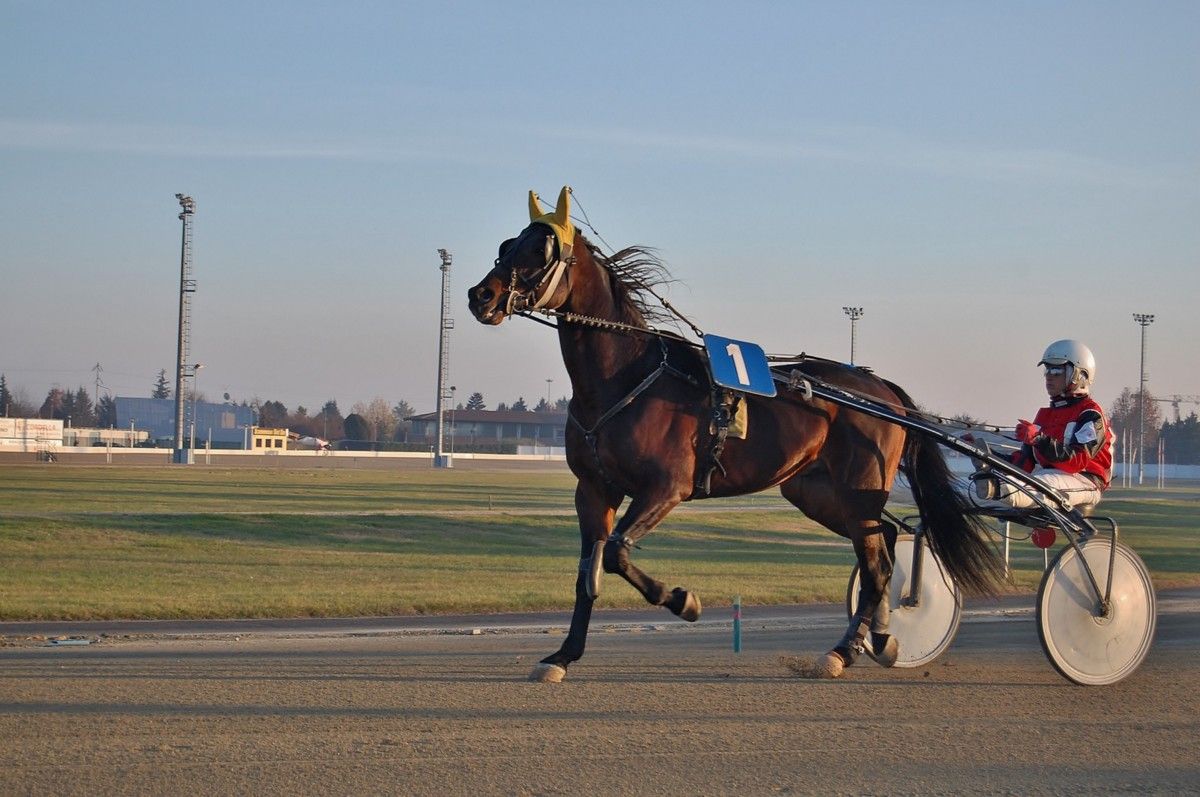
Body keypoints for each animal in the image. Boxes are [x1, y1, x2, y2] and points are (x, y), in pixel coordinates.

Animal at [468, 187, 1004, 682]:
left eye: (541, 250)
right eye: (507, 243)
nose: (481, 296)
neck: (624, 378)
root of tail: (882, 388)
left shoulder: (667, 487)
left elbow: (617, 553)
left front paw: (683, 600)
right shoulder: (594, 489)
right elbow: (589, 572)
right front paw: (562, 656)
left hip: (860, 487)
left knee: (875, 566)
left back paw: (843, 651)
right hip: (815, 491)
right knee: (885, 543)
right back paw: (879, 637)